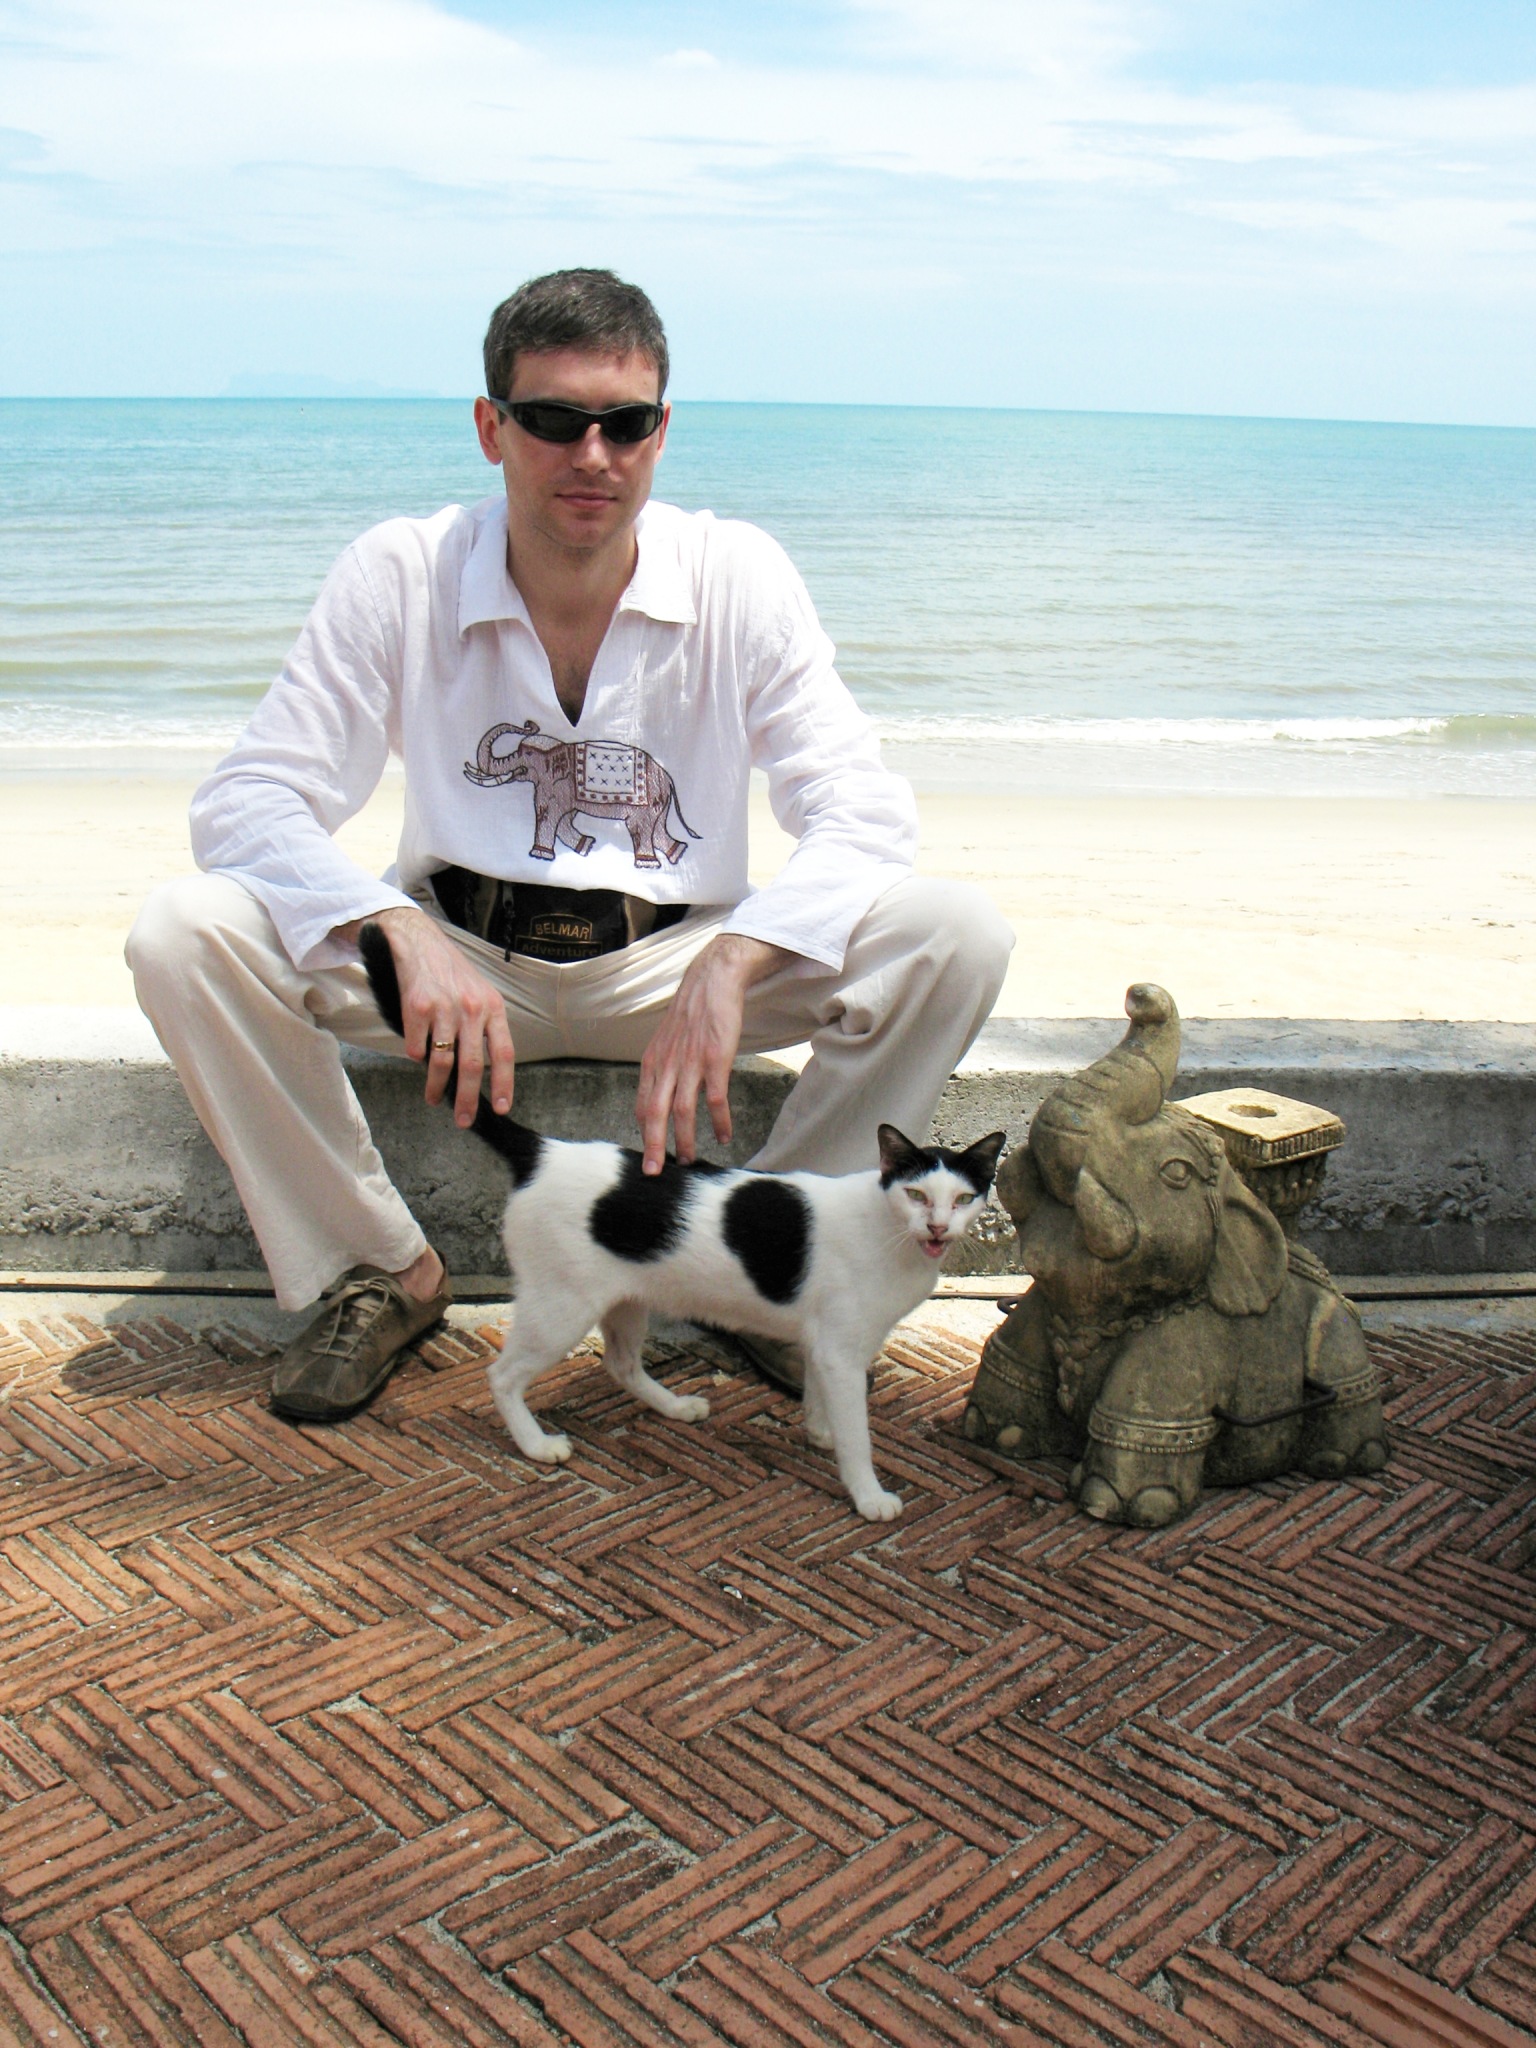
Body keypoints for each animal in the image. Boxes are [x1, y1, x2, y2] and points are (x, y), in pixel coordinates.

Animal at [360, 922, 1005, 1520]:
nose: (939, 1227)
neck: (892, 1233)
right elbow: (858, 1436)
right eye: (918, 1195)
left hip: (624, 1297)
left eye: (963, 1198)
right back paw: (537, 1444)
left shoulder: (826, 1348)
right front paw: (867, 1493)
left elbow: (821, 1400)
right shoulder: (843, 1352)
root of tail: (546, 1150)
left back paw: (674, 1406)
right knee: (502, 1375)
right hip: (559, 1309)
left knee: (620, 1363)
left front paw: (820, 1431)